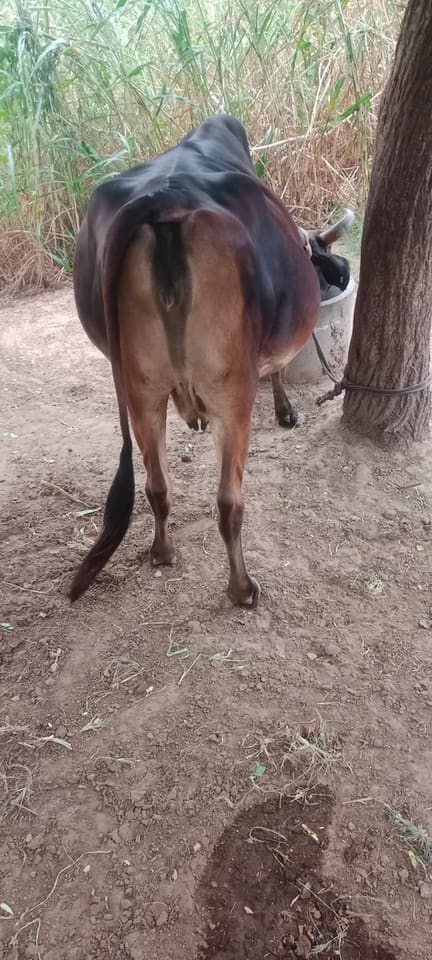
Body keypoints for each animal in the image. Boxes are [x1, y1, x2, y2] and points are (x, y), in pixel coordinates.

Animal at [70, 114, 350, 608]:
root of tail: (162, 202)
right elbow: (277, 370)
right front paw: (286, 412)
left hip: (140, 387)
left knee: (156, 484)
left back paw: (163, 552)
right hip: (229, 392)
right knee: (229, 502)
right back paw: (242, 588)